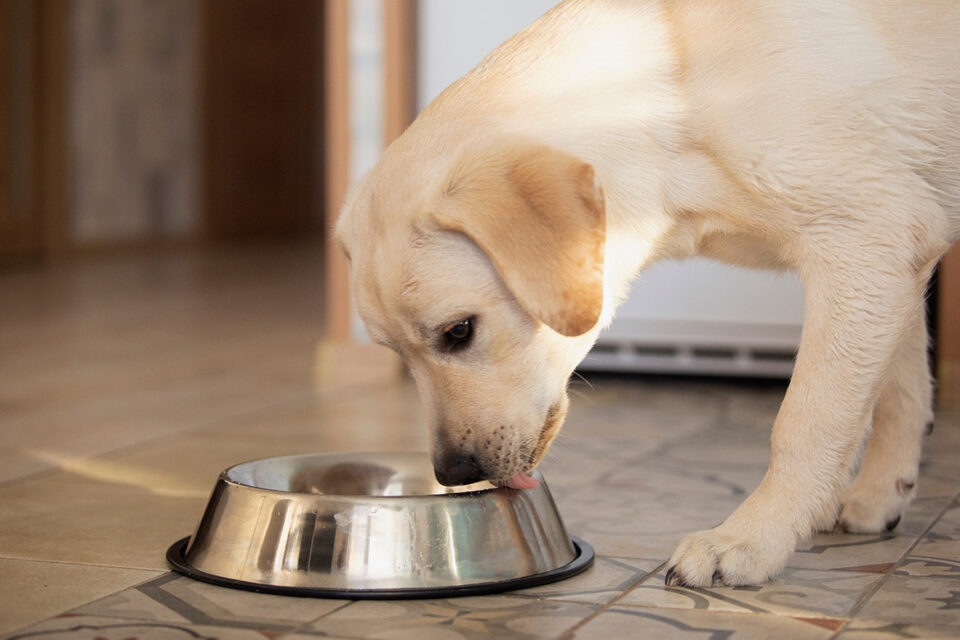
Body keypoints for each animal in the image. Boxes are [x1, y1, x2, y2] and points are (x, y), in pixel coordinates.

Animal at [334, 0, 956, 588]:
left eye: (458, 331)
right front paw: (881, 496)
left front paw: (752, 540)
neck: (676, 94)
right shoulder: (894, 262)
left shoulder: (862, 242)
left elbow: (805, 425)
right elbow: (899, 395)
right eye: (397, 355)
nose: (454, 474)